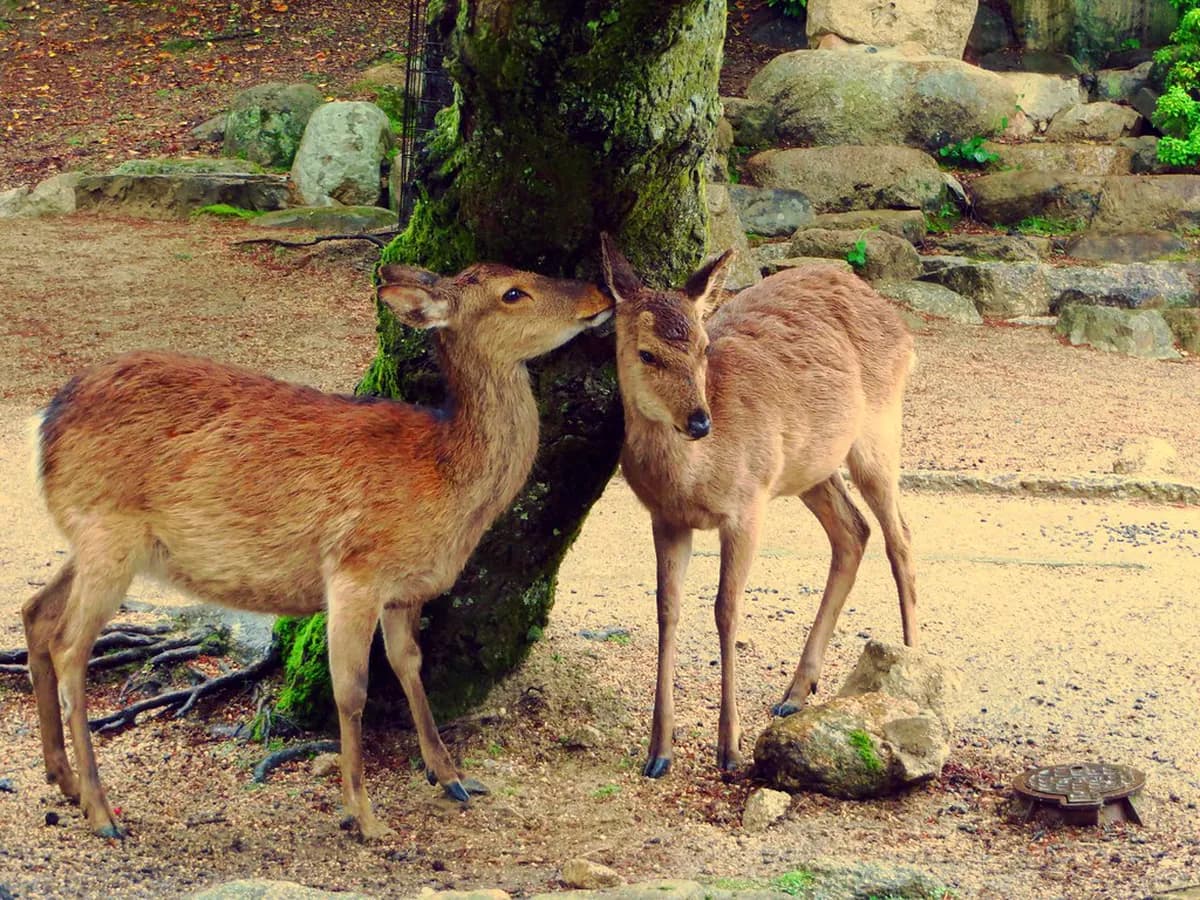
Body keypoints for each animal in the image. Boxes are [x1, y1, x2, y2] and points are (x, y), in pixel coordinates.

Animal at [22, 260, 613, 841]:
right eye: (514, 291)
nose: (599, 294)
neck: (445, 482)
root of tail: (46, 425)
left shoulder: (406, 590)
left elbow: (410, 666)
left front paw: (452, 778)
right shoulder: (355, 570)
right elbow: (351, 690)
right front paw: (364, 816)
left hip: (92, 539)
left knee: (36, 612)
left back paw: (64, 781)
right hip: (109, 536)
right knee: (70, 646)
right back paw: (101, 812)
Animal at [599, 234, 917, 779]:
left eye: (704, 347)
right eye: (646, 353)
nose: (699, 421)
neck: (692, 478)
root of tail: (900, 324)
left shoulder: (747, 505)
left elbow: (726, 609)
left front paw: (729, 749)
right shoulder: (666, 518)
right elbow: (667, 609)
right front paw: (658, 752)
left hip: (877, 431)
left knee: (900, 535)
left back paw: (915, 668)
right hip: (810, 465)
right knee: (854, 531)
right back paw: (795, 693)